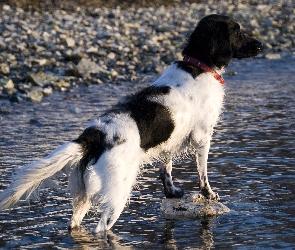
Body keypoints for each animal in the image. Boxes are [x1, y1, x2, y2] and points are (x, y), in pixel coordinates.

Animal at [0, 14, 264, 233]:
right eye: (237, 31)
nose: (261, 45)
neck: (198, 67)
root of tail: (95, 135)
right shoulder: (202, 136)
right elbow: (203, 174)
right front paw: (209, 194)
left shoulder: (171, 140)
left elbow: (166, 169)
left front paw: (172, 192)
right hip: (117, 195)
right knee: (101, 229)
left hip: (83, 196)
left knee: (74, 225)